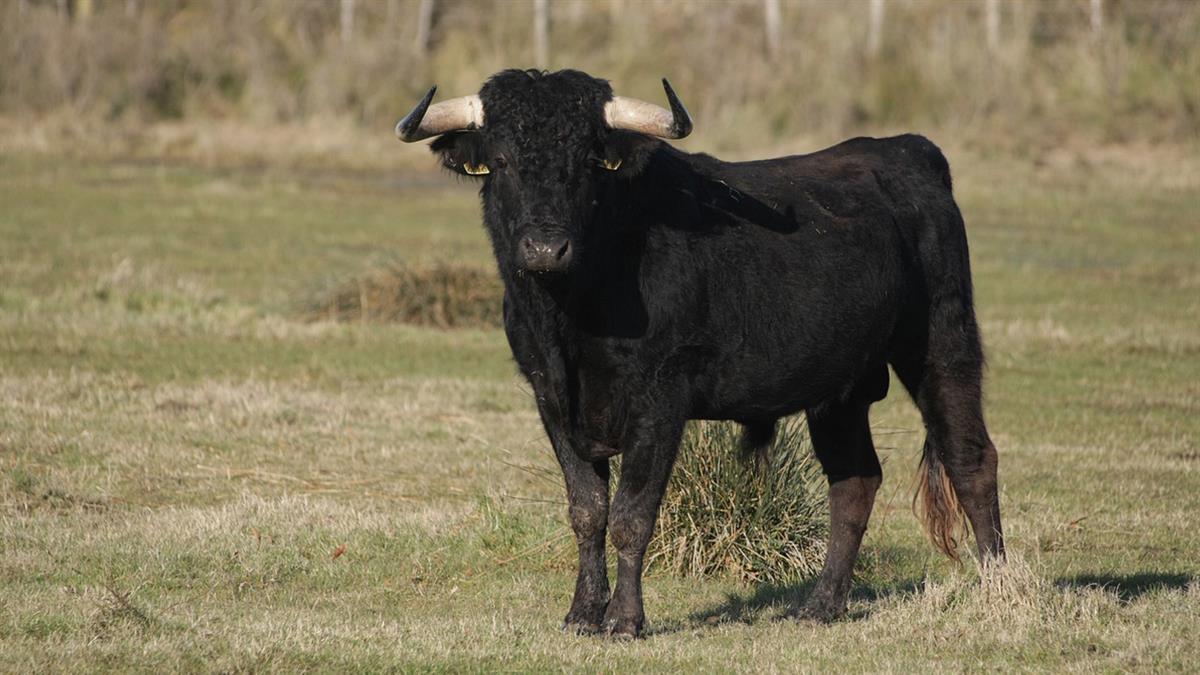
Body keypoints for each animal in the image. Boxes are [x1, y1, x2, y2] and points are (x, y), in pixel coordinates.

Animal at [396, 68, 1003, 634]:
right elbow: (587, 511)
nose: (546, 249)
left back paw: (997, 589)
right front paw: (582, 613)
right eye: (500, 161)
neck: (570, 314)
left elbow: (632, 515)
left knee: (971, 459)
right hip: (841, 389)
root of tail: (906, 149)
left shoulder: (661, 398)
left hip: (942, 344)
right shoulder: (551, 397)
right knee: (854, 481)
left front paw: (624, 620)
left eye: (589, 162)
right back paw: (820, 606)